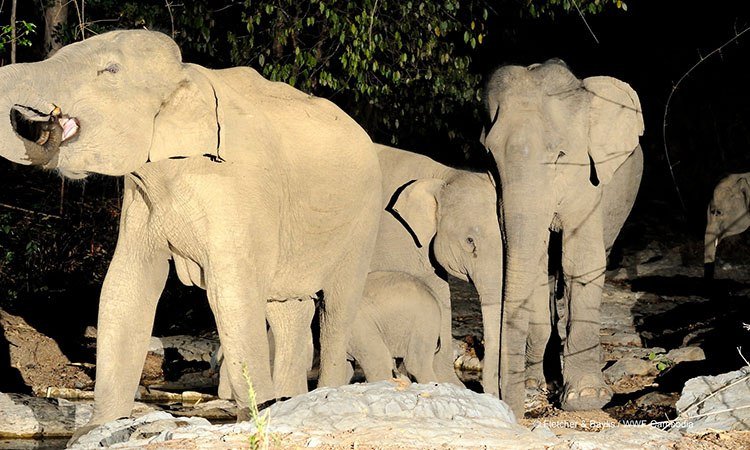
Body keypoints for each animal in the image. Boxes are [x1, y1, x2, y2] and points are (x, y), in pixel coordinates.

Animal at [0, 30, 382, 435]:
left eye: (110, 70)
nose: (40, 122)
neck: (185, 76)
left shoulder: (237, 189)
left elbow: (230, 293)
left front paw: (257, 419)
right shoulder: (142, 196)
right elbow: (126, 285)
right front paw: (96, 430)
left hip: (363, 220)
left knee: (336, 309)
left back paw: (321, 395)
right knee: (288, 310)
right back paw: (291, 401)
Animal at [482, 59, 644, 415]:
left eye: (559, 156)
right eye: (490, 158)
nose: (510, 408)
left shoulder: (588, 179)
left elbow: (581, 261)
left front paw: (586, 398)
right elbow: (536, 264)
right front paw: (534, 385)